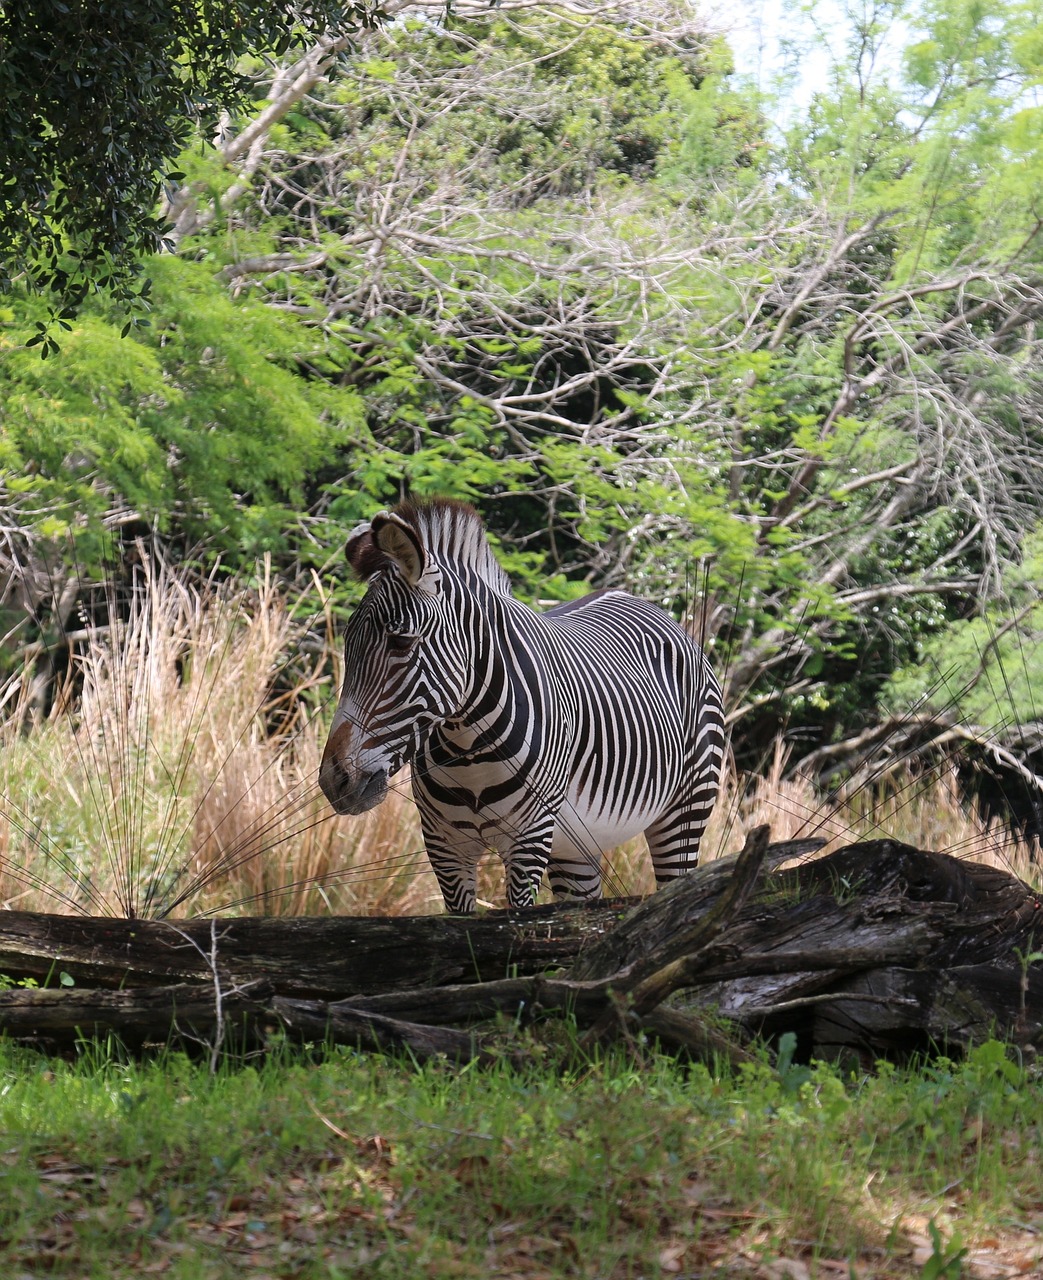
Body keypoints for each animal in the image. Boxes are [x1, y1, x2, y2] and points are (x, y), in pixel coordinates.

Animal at [319, 496, 726, 911]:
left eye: (401, 642)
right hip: (578, 847)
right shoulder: (444, 844)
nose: (336, 781)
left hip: (686, 810)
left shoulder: (530, 838)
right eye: (347, 644)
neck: (468, 752)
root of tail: (641, 601)